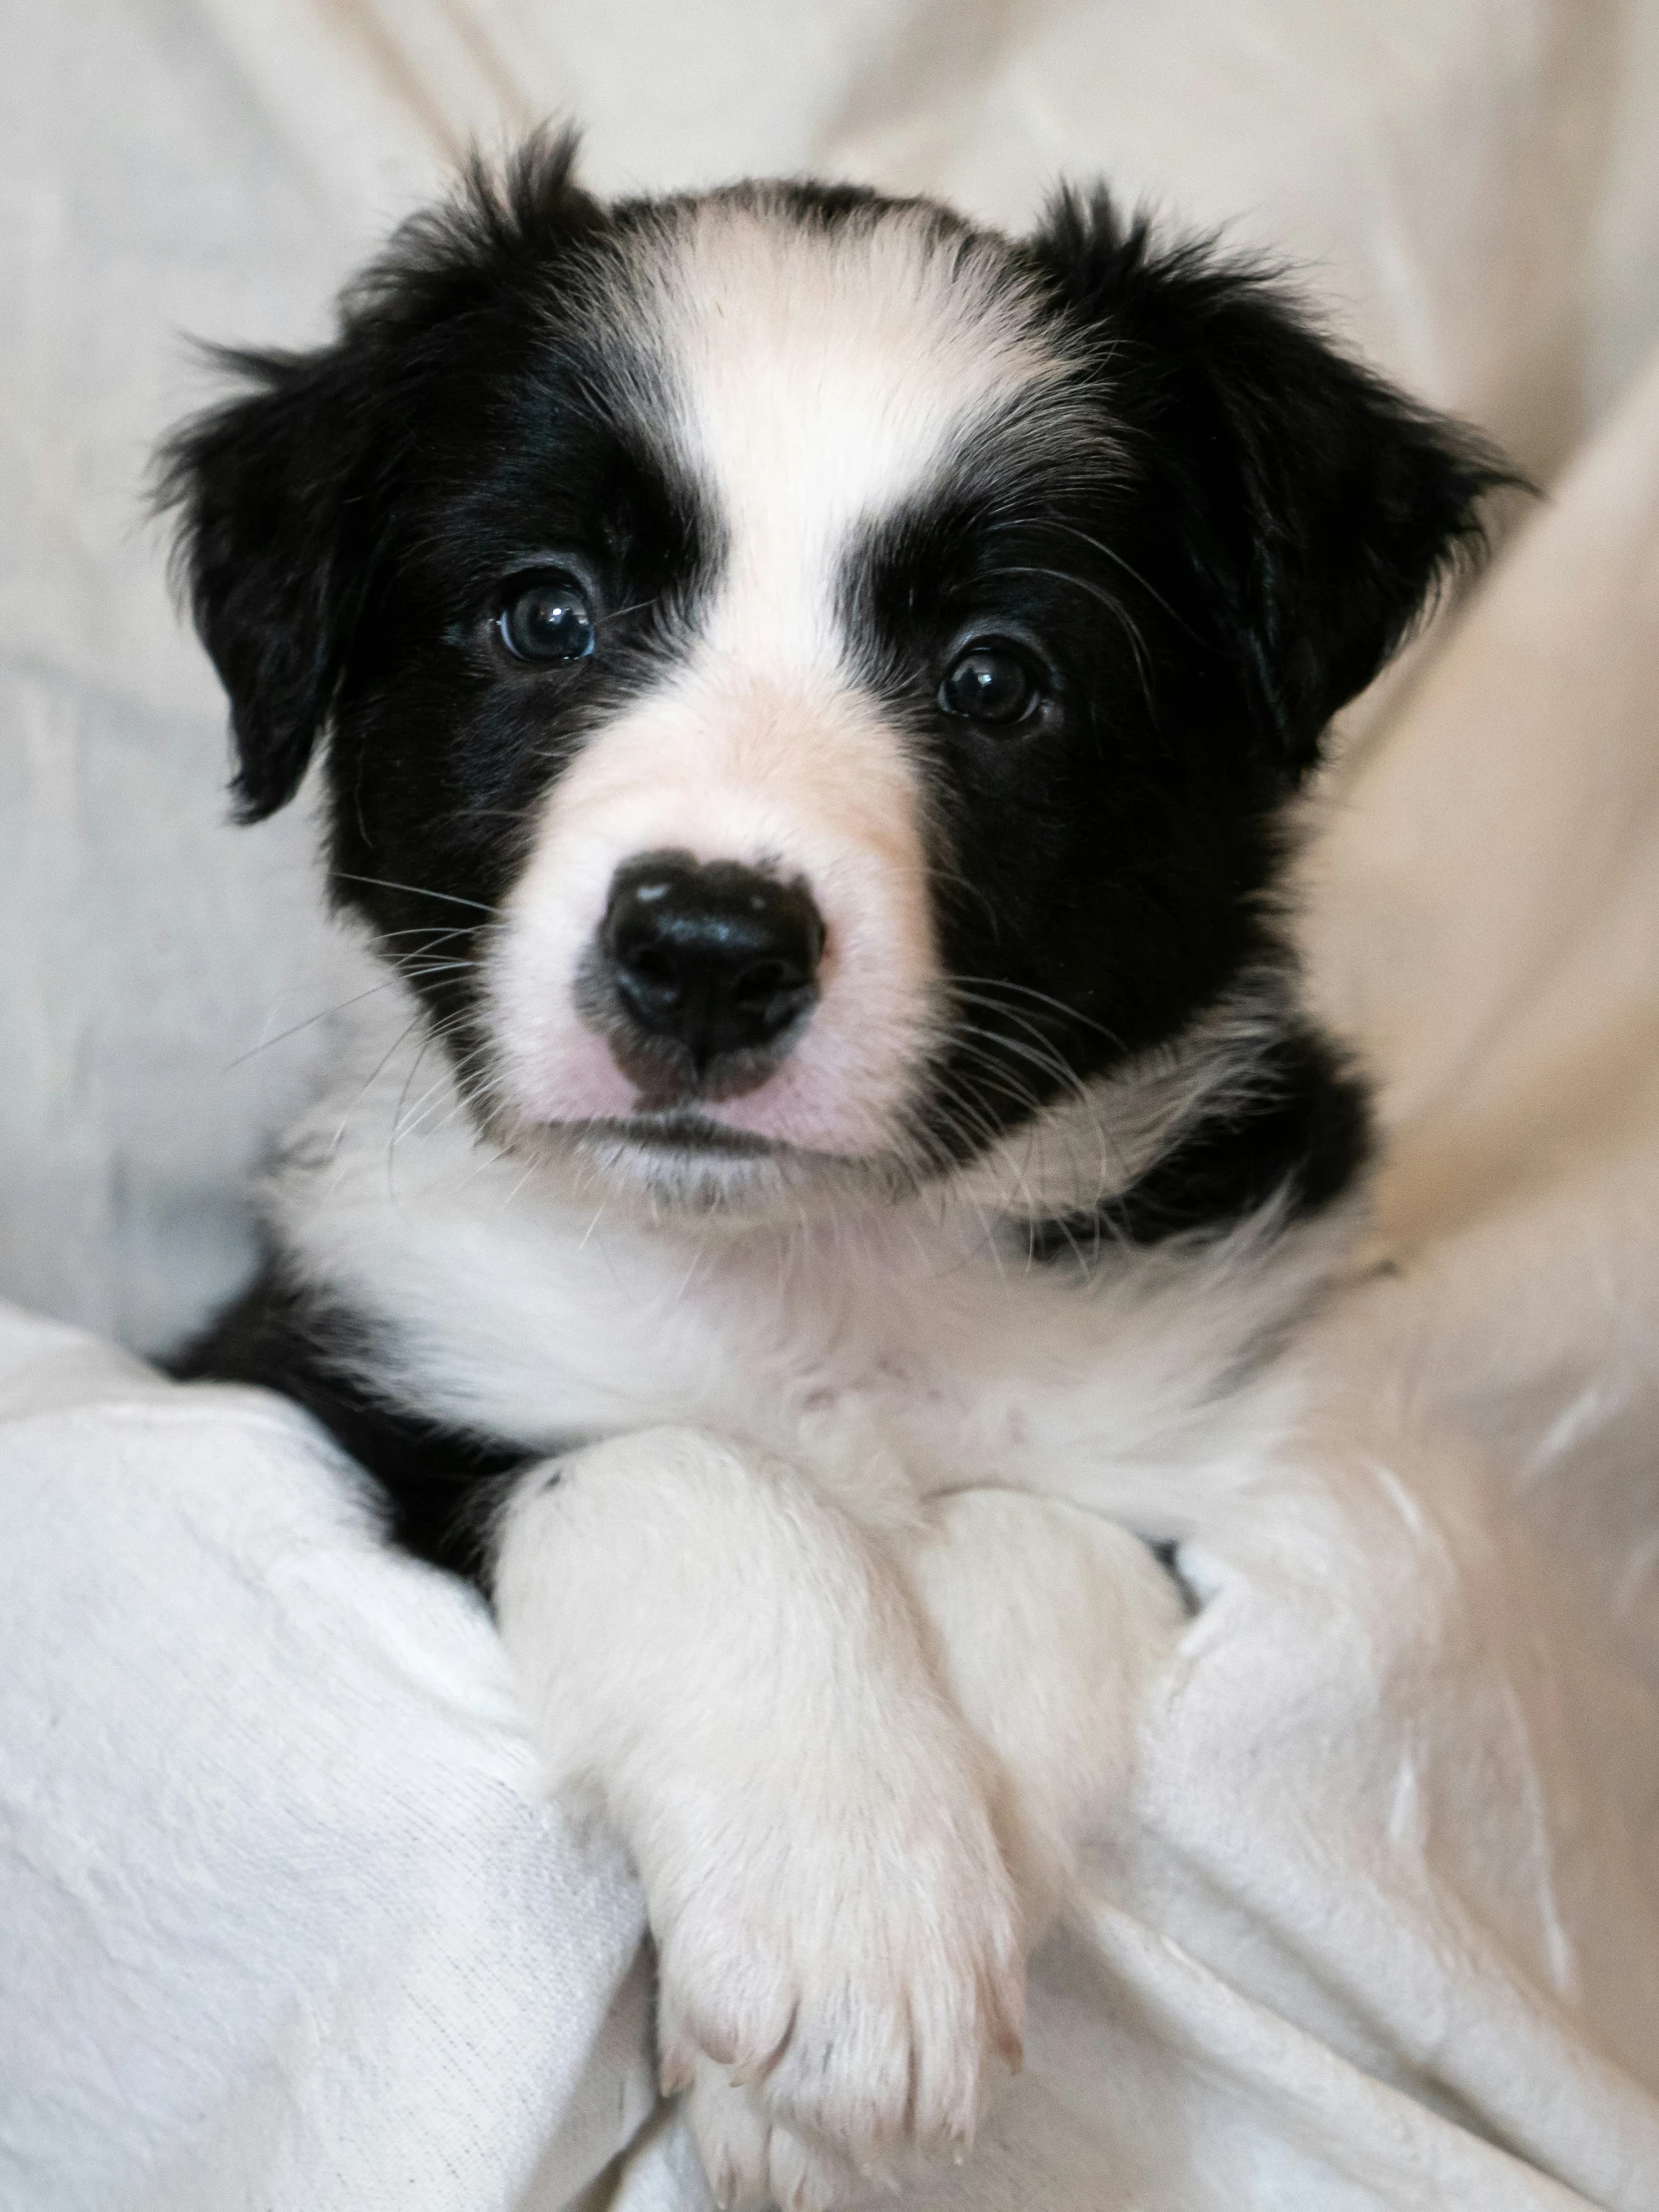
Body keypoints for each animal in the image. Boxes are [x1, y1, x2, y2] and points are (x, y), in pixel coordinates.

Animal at [159, 138, 1503, 2212]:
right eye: (544, 617)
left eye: (996, 677)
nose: (706, 951)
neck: (810, 1269)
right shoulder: (333, 1370)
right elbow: (682, 1476)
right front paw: (842, 1934)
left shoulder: (1189, 1429)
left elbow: (1021, 1534)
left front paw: (894, 1964)